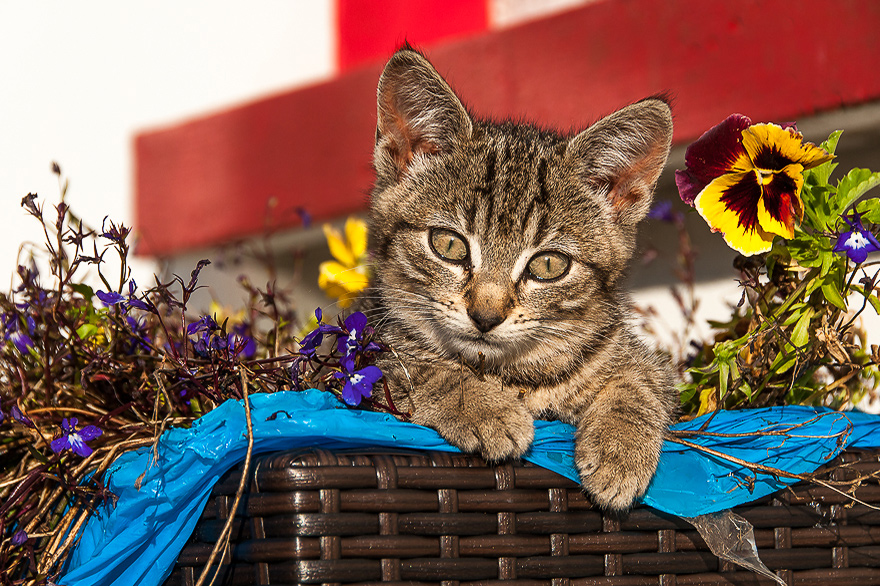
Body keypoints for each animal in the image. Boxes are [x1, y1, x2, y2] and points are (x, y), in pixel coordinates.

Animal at [360, 48, 676, 508]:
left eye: (548, 266)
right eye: (448, 244)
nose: (485, 316)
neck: (514, 375)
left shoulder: (649, 362)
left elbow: (642, 380)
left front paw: (621, 449)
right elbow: (416, 368)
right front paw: (485, 407)